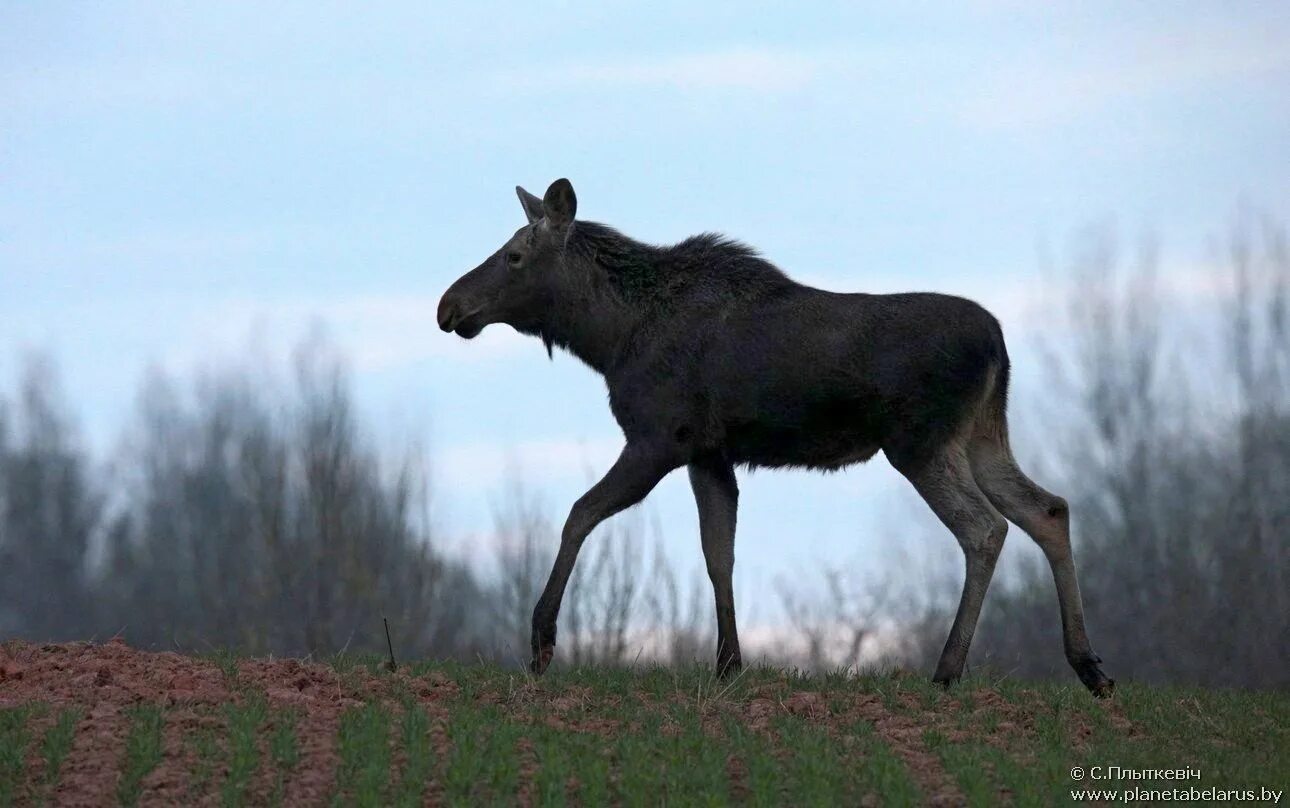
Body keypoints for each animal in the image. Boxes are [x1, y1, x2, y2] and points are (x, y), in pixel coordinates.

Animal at [438, 179, 1114, 696]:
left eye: (514, 255)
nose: (449, 306)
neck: (608, 339)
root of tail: (1000, 344)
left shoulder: (658, 438)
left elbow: (578, 515)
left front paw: (541, 641)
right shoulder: (708, 453)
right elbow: (719, 553)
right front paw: (728, 664)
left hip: (920, 443)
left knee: (985, 528)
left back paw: (948, 671)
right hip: (980, 437)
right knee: (1049, 508)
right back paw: (1089, 667)